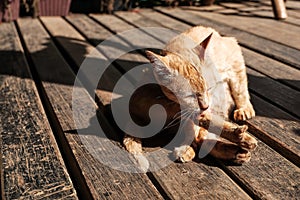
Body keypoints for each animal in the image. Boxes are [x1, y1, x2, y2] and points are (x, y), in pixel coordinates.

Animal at [123, 25, 256, 166]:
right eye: (189, 96)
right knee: (200, 137)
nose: (206, 106)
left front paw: (244, 110)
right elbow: (196, 129)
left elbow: (239, 88)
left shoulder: (234, 58)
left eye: (209, 88)